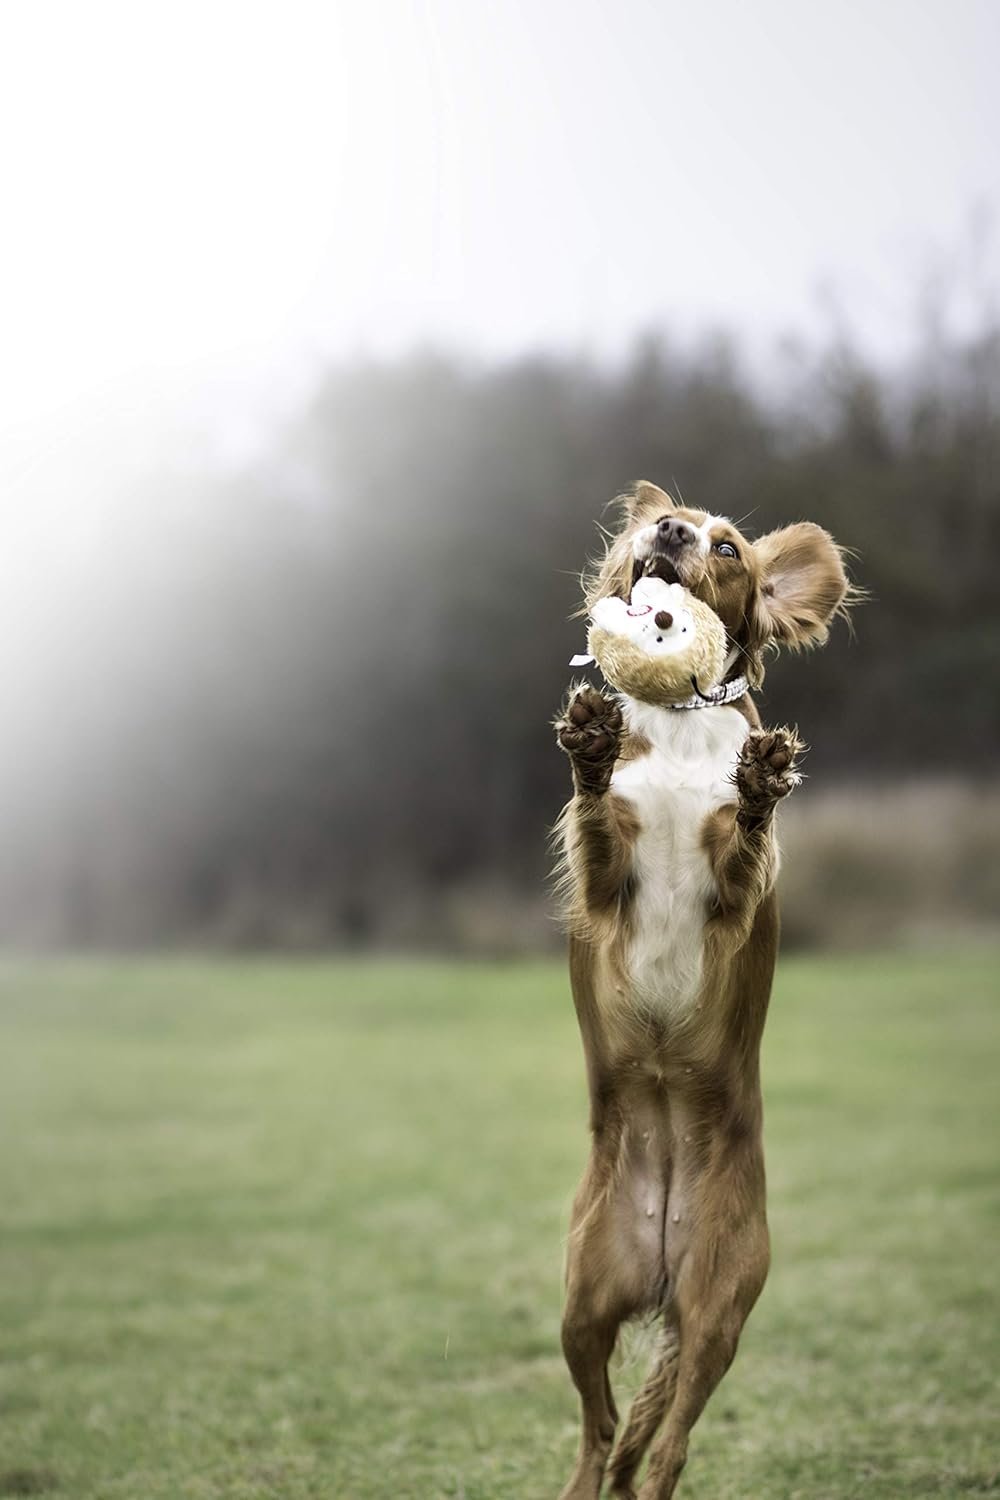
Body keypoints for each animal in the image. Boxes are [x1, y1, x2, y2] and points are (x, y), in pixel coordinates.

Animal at [553, 480, 851, 1499]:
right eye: (661, 522)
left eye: (726, 547)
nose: (673, 532)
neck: (681, 724)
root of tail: (663, 1259)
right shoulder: (608, 882)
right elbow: (596, 817)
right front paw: (590, 743)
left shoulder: (732, 893)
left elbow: (744, 841)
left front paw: (762, 781)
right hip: (581, 1297)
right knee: (603, 1426)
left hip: (720, 1308)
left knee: (668, 1442)